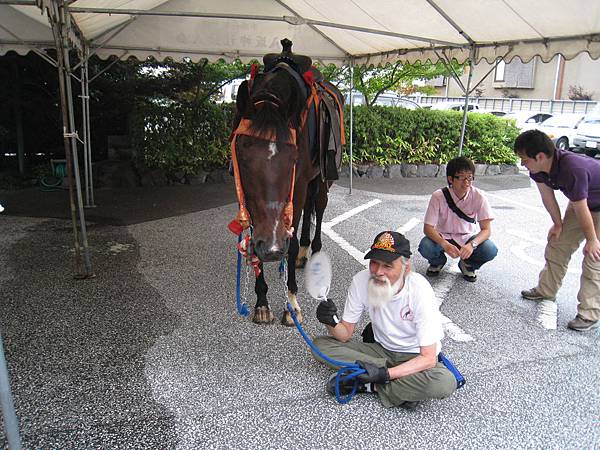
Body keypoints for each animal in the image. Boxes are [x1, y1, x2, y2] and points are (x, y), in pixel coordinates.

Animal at [230, 50, 342, 324]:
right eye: (243, 156)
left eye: (292, 158)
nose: (272, 249)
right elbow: (254, 241)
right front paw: (261, 301)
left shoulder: (298, 185)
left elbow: (289, 243)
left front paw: (291, 303)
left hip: (321, 179)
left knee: (318, 208)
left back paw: (311, 251)